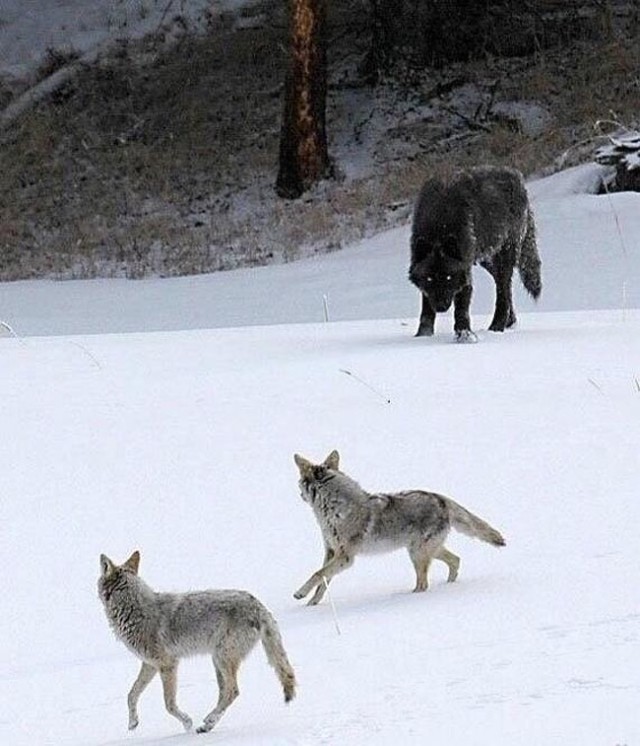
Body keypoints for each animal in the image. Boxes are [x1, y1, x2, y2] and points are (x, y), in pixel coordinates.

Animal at [410, 166, 540, 340]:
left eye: (449, 277)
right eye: (429, 278)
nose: (441, 306)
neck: (439, 223)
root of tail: (518, 177)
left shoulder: (464, 269)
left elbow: (461, 308)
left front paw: (464, 335)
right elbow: (426, 308)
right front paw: (423, 335)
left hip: (504, 255)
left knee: (503, 289)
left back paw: (497, 326)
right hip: (487, 260)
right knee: (502, 284)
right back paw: (510, 321)